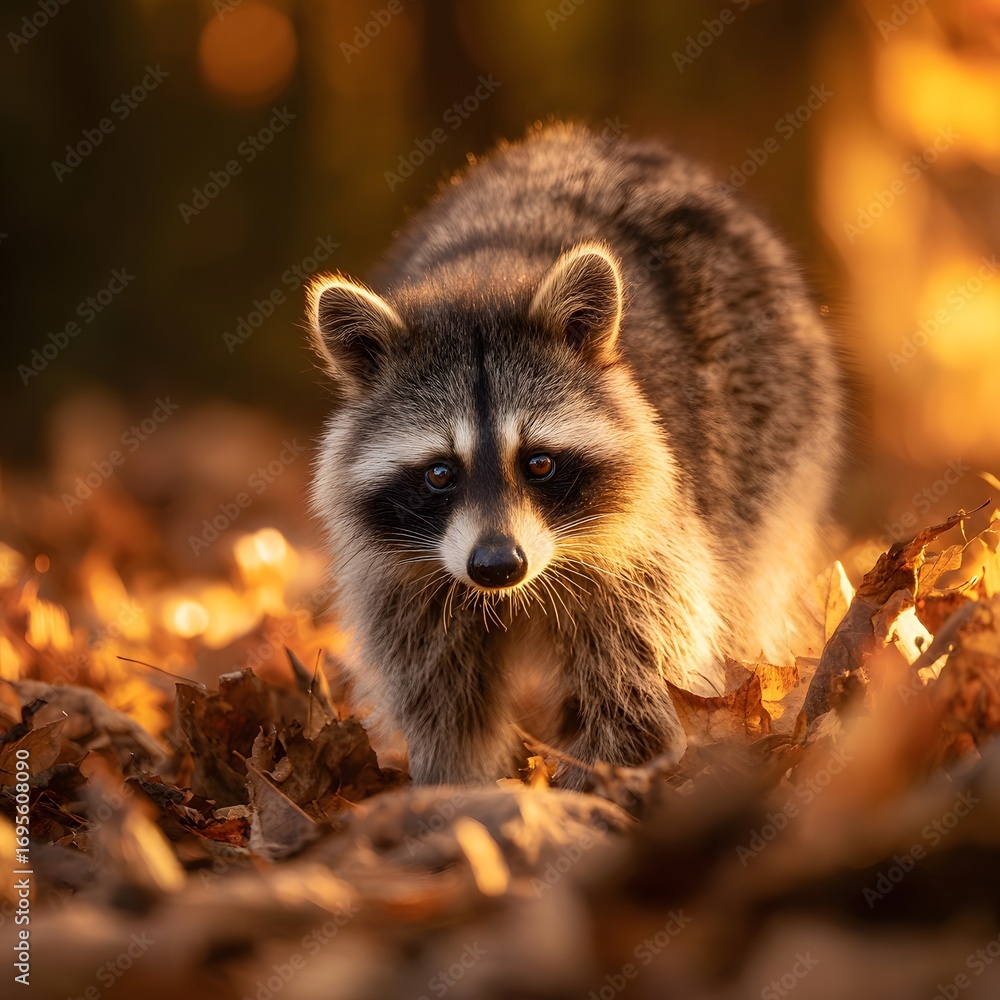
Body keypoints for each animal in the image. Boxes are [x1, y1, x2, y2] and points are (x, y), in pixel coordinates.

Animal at [307, 123, 842, 788]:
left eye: (539, 462)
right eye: (439, 473)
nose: (496, 565)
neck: (482, 279)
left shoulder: (647, 548)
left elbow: (634, 683)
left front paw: (594, 783)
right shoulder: (405, 582)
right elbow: (442, 695)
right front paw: (459, 784)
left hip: (772, 423)